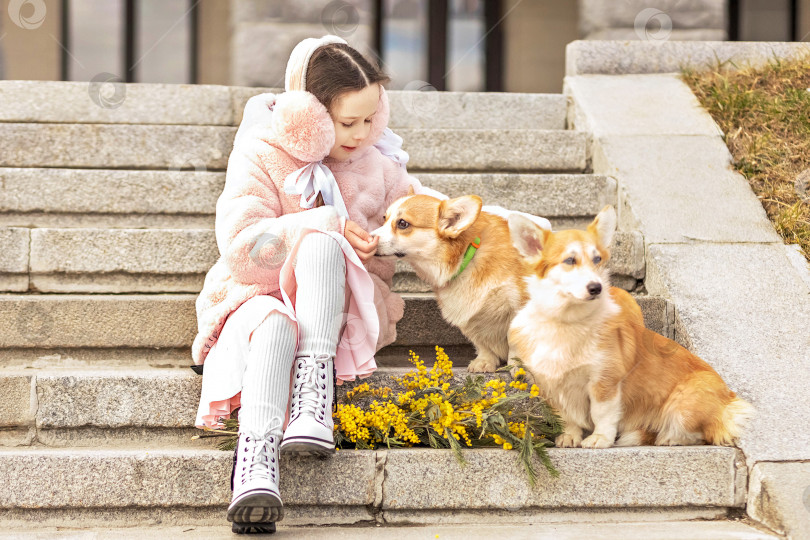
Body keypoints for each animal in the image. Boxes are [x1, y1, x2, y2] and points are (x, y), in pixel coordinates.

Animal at [372, 189, 536, 372]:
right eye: (384, 218)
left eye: (402, 223)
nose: (368, 238)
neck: (465, 256)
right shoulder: (467, 315)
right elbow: (481, 342)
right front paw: (484, 361)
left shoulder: (520, 305)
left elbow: (514, 338)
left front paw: (518, 366)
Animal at [504, 206, 752, 448]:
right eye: (569, 260)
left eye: (597, 259)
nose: (596, 288)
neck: (567, 321)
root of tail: (729, 399)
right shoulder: (552, 385)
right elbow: (566, 417)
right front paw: (569, 437)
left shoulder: (605, 381)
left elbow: (601, 414)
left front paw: (600, 439)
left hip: (684, 403)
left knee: (705, 432)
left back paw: (669, 437)